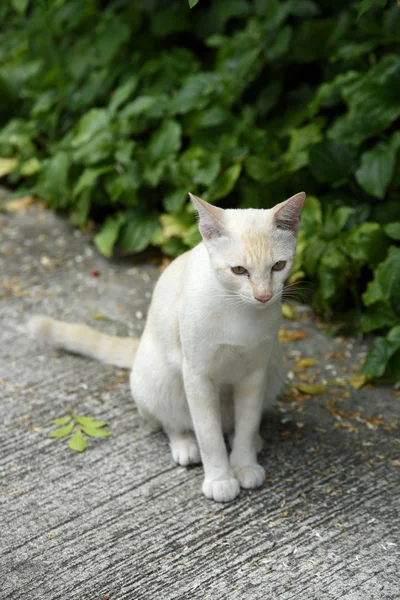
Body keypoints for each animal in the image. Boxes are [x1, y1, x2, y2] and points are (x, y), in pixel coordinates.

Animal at [29, 192, 304, 502]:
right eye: (239, 270)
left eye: (278, 266)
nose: (263, 296)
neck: (239, 312)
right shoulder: (196, 375)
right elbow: (208, 434)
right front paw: (220, 478)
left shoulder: (255, 373)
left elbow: (248, 422)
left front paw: (244, 463)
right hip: (160, 378)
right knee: (172, 420)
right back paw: (185, 444)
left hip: (275, 366)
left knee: (234, 425)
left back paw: (246, 442)